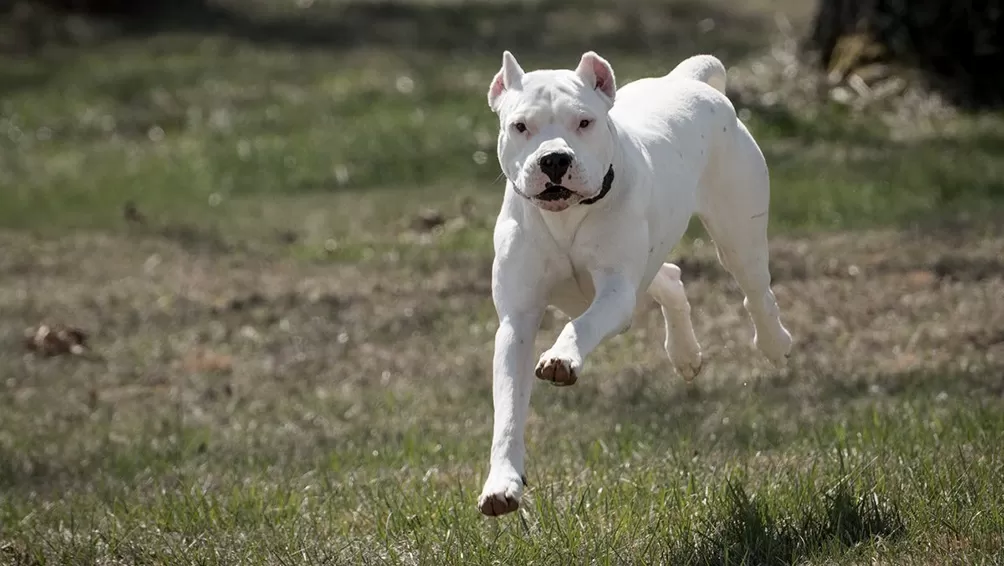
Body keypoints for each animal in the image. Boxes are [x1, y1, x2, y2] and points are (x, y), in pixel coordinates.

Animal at [475, 50, 791, 513]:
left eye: (584, 122)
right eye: (520, 126)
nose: (554, 159)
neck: (566, 217)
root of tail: (689, 79)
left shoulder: (615, 292)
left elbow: (582, 324)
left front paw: (561, 358)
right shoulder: (517, 320)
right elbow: (509, 411)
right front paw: (502, 484)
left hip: (737, 232)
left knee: (756, 291)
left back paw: (774, 343)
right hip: (654, 259)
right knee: (672, 279)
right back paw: (685, 353)